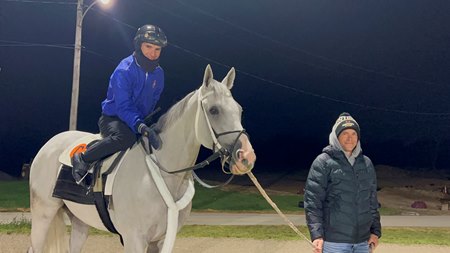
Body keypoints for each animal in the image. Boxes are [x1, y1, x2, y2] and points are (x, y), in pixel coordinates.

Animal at [29, 64, 256, 252]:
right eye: (214, 110)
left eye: (239, 110)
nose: (246, 156)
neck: (162, 174)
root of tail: (49, 146)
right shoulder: (134, 239)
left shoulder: (161, 240)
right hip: (43, 215)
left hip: (79, 222)